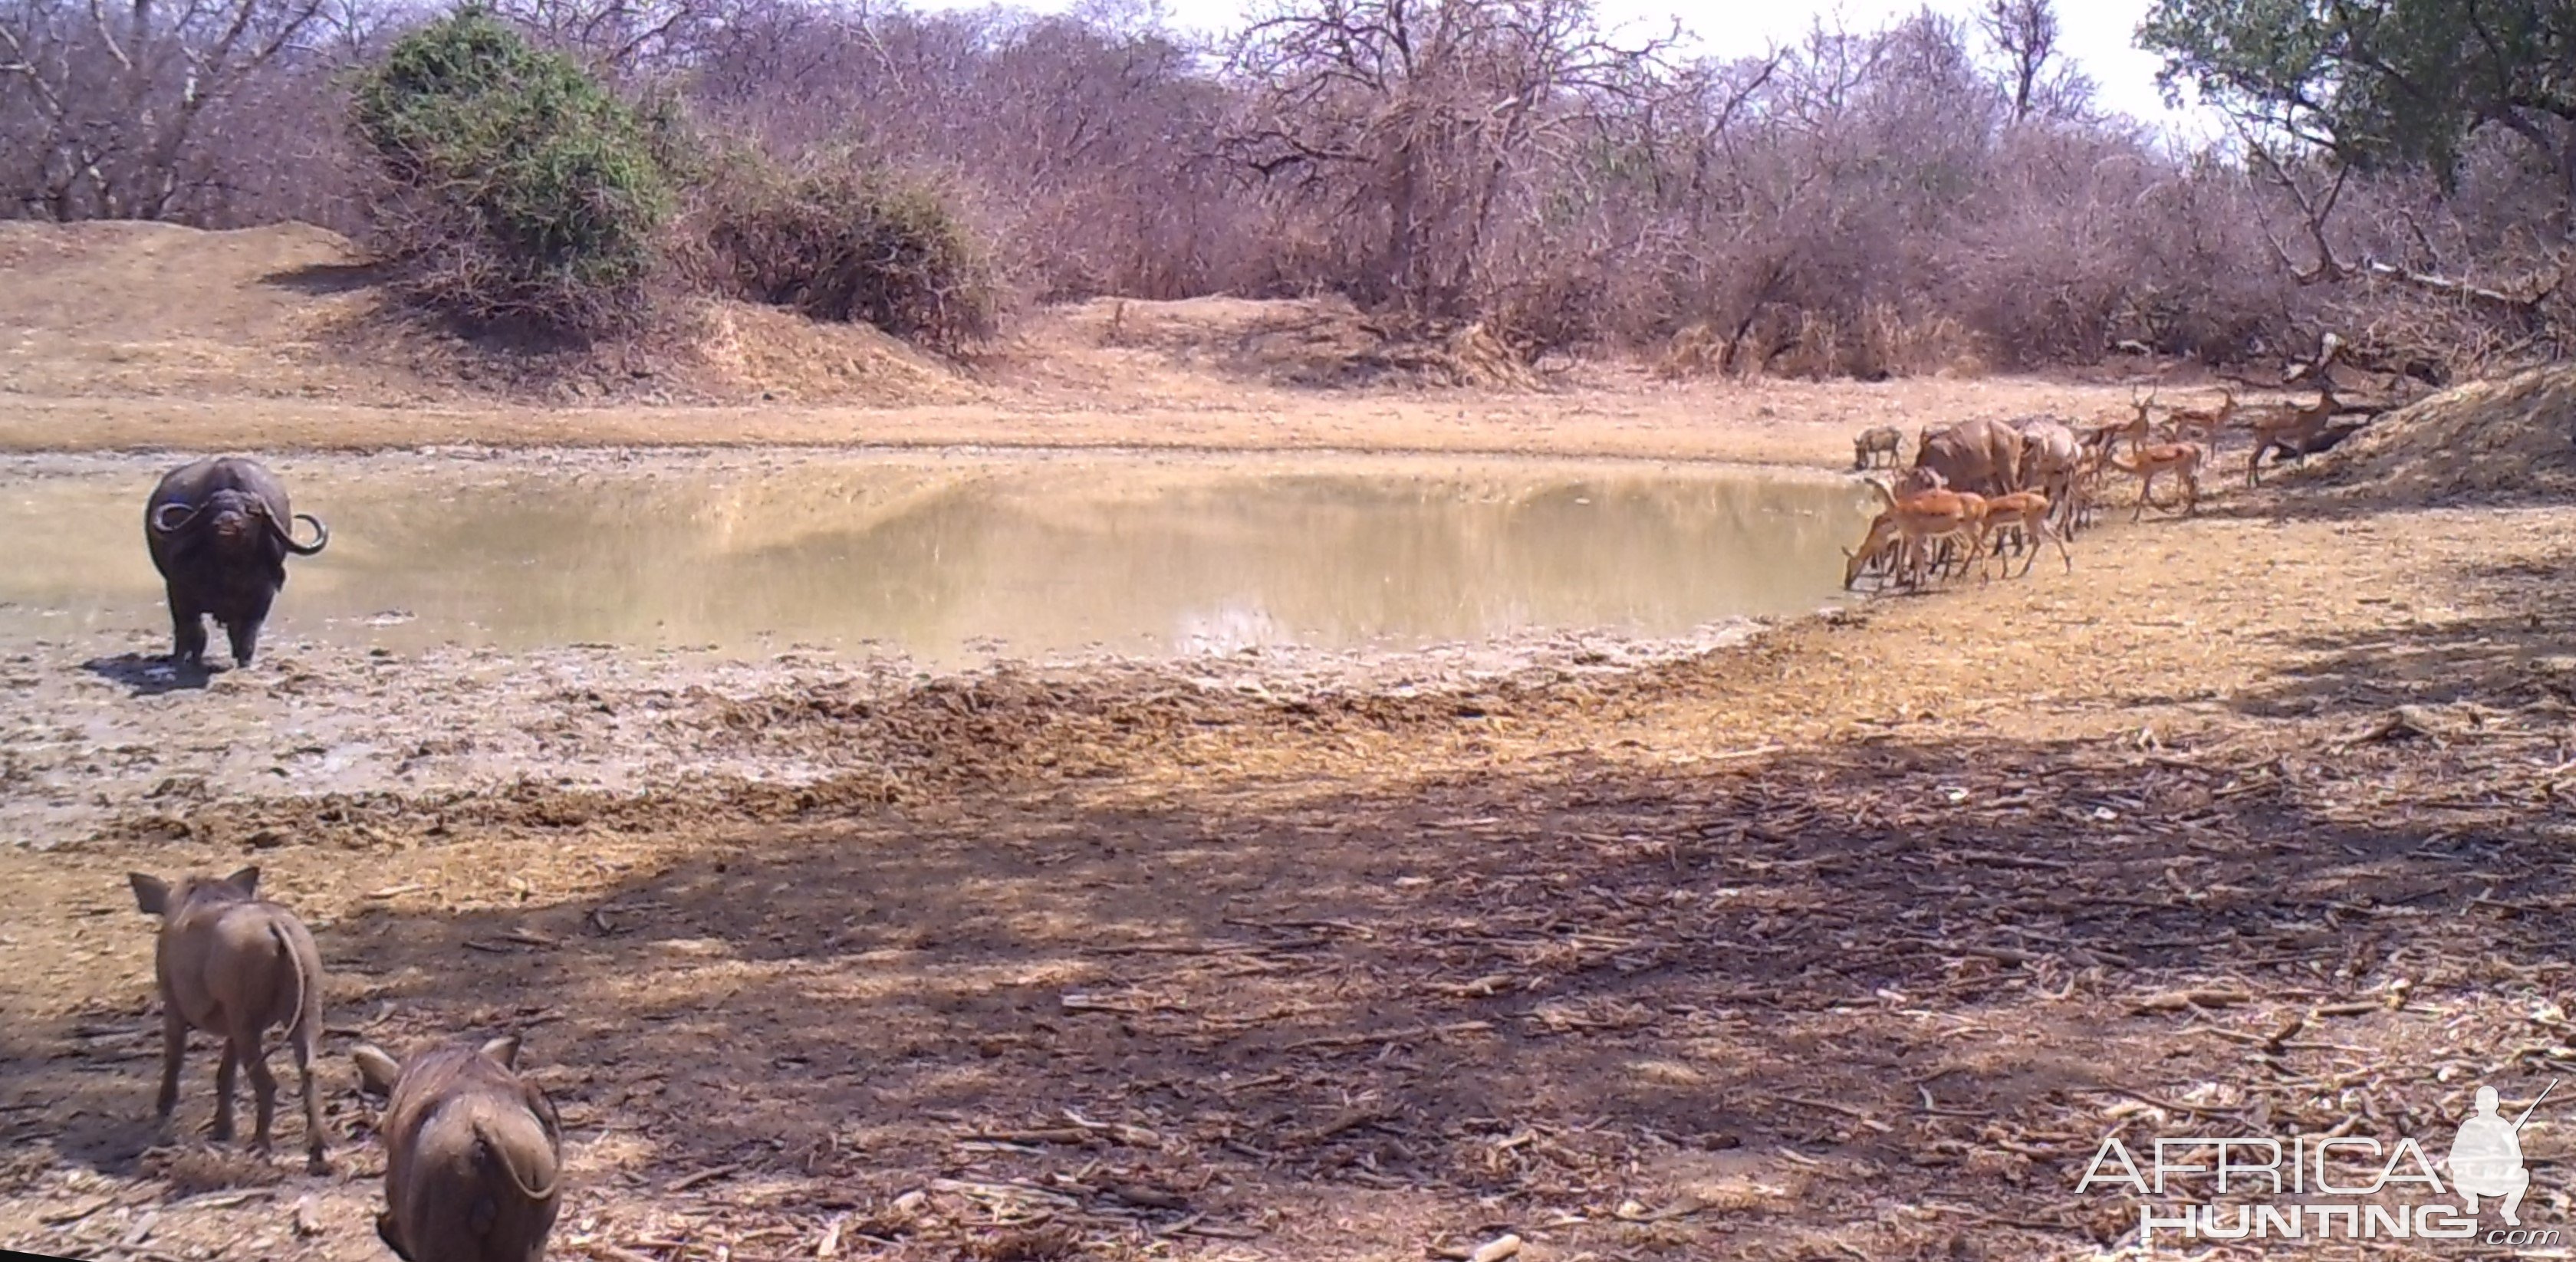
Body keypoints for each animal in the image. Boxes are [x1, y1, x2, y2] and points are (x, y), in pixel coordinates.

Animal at [144, 455, 327, 669]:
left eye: (252, 511)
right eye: (212, 510)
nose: (227, 523)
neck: (229, 570)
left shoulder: (262, 596)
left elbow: (246, 634)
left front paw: (244, 662)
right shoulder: (178, 591)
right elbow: (192, 630)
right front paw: (184, 659)